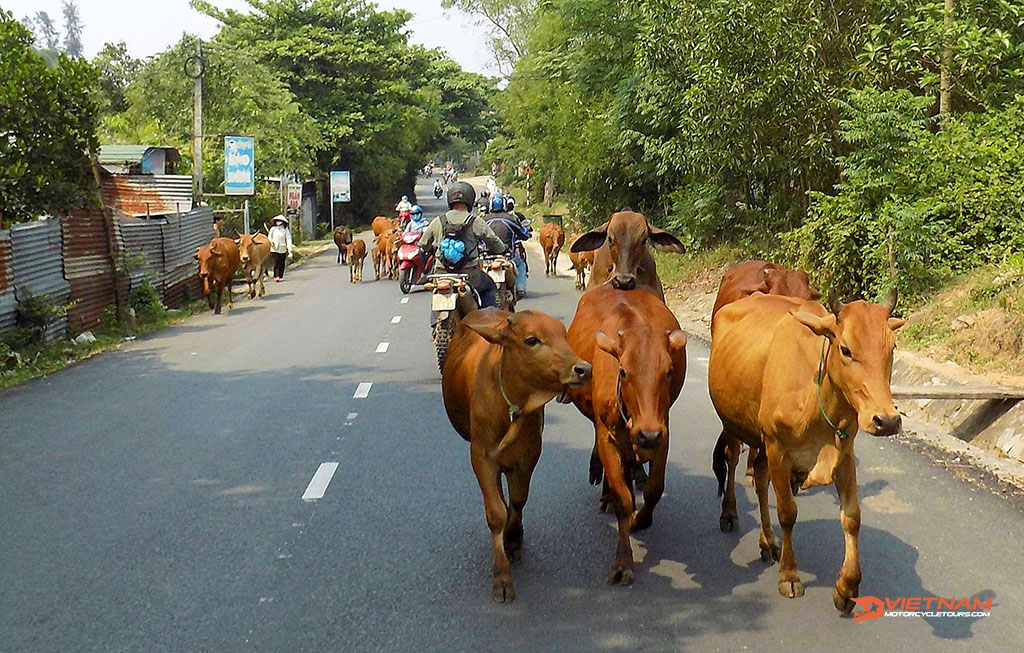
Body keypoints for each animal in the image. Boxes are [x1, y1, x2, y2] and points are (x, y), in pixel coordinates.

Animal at [442, 309, 593, 605]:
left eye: (563, 334)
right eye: (532, 340)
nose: (583, 369)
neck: (511, 405)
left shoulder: (529, 455)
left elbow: (519, 501)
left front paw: (513, 538)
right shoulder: (481, 457)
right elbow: (496, 513)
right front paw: (502, 576)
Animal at [569, 288, 688, 585]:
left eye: (669, 371)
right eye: (623, 371)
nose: (647, 434)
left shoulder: (663, 432)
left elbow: (654, 490)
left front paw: (638, 519)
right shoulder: (608, 437)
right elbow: (623, 499)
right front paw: (623, 561)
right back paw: (606, 495)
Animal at [708, 290, 909, 614]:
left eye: (892, 347)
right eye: (845, 349)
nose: (887, 420)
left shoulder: (844, 455)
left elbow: (852, 517)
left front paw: (846, 587)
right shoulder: (778, 448)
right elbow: (788, 513)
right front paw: (789, 575)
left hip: (761, 440)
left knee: (760, 479)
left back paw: (768, 542)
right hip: (736, 425)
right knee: (733, 456)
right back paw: (729, 513)